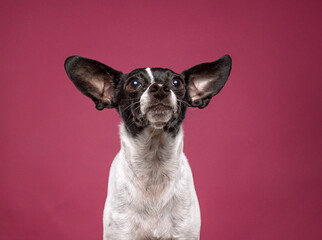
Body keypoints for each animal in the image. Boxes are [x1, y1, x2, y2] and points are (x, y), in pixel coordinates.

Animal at [65, 54, 231, 240]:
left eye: (177, 83)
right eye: (134, 83)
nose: (160, 88)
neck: (154, 167)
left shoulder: (184, 234)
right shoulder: (121, 233)